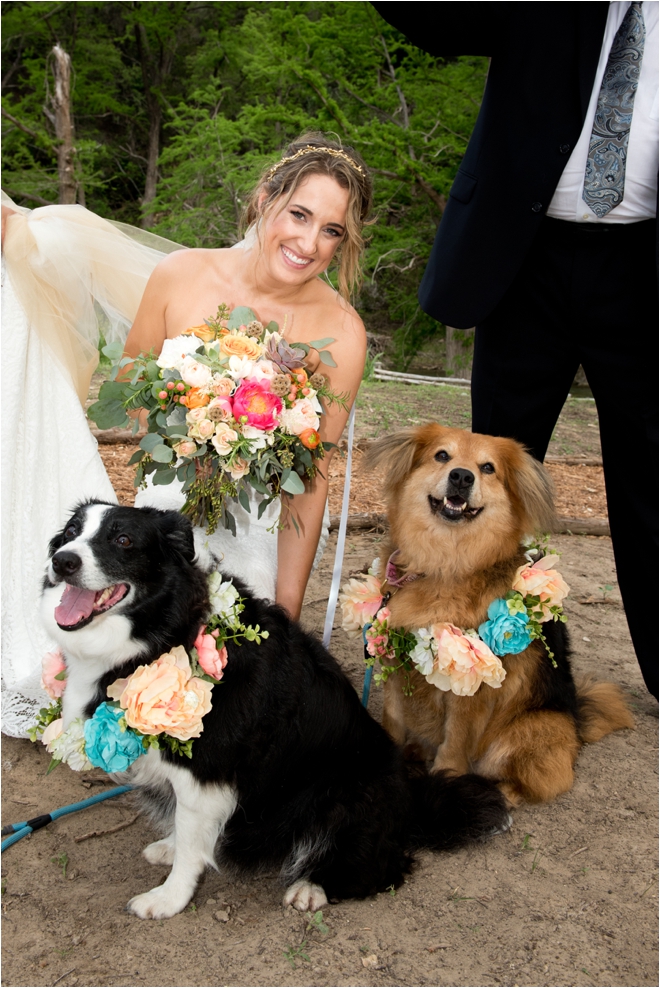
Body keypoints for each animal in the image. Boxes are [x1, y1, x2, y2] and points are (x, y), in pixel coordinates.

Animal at [364, 426, 632, 812]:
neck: (445, 565)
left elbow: (454, 743)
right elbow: (393, 721)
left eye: (488, 467)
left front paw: (446, 785)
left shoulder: (471, 688)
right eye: (442, 455)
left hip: (528, 732)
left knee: (531, 782)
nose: (462, 476)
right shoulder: (396, 663)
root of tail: (576, 719)